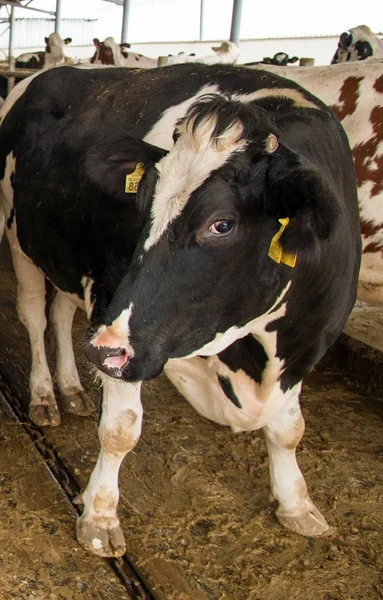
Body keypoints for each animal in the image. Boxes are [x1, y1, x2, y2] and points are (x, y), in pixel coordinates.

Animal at [0, 64, 362, 556]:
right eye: (140, 204)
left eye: (222, 224)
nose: (102, 351)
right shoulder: (119, 321)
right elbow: (121, 428)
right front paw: (99, 516)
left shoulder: (305, 343)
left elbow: (289, 429)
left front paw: (297, 504)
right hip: (20, 236)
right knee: (36, 317)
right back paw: (42, 395)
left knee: (60, 317)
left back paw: (72, 388)